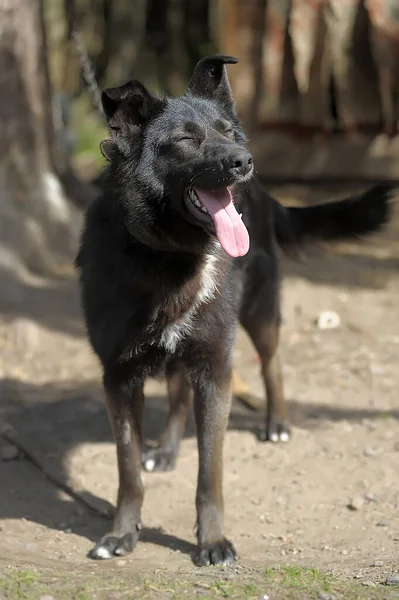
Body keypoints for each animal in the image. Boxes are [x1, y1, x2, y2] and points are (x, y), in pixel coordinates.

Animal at [76, 54, 396, 564]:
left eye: (227, 131)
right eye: (186, 140)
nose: (243, 161)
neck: (170, 257)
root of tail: (264, 191)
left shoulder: (215, 369)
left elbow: (211, 471)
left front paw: (212, 541)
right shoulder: (119, 378)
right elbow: (128, 471)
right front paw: (122, 533)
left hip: (260, 312)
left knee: (272, 364)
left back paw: (277, 422)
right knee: (178, 389)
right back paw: (166, 448)